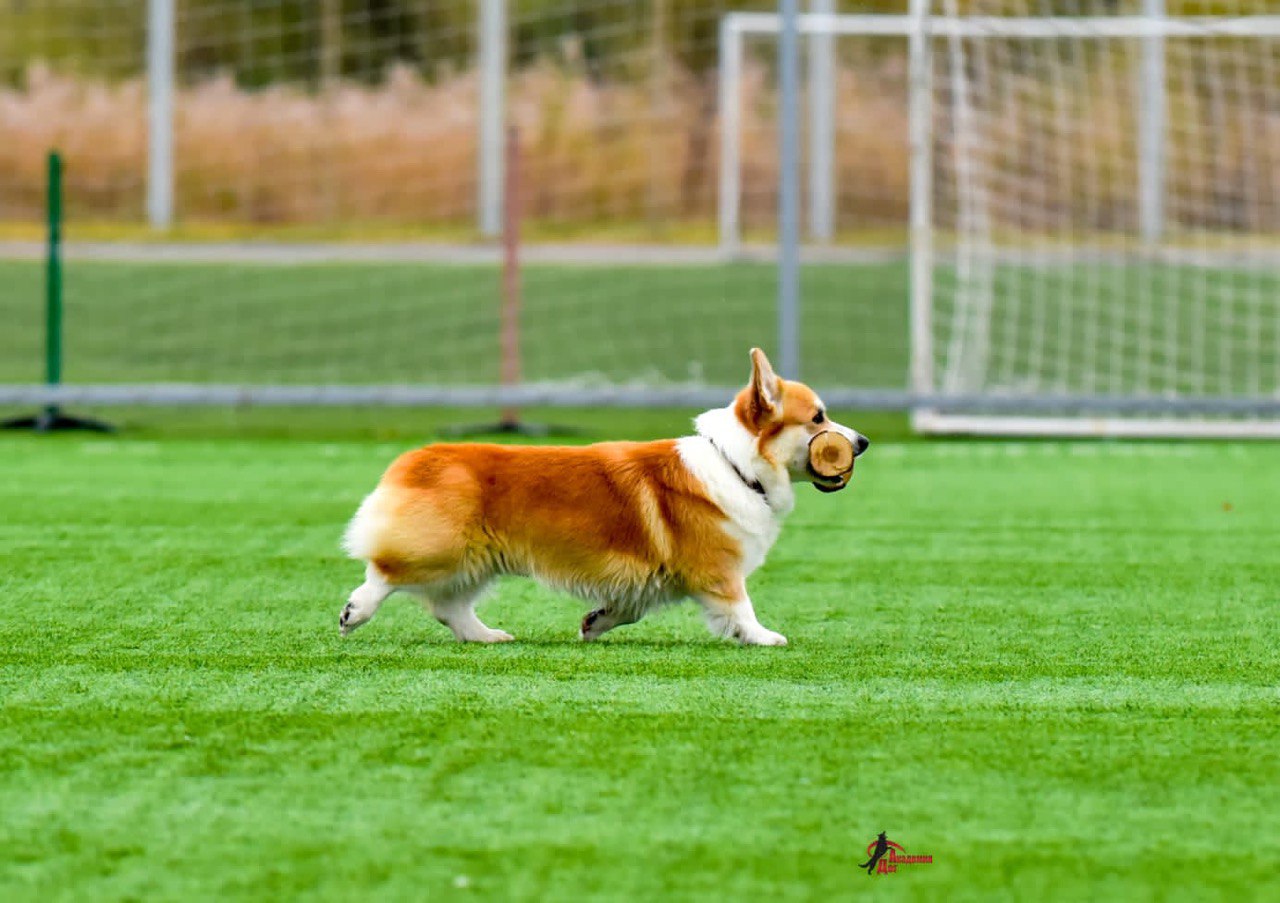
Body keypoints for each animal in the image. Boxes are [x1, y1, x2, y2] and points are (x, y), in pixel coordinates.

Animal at [337, 348, 870, 645]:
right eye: (818, 418)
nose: (863, 442)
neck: (735, 465)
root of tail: (416, 458)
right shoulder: (718, 570)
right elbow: (741, 608)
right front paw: (763, 637)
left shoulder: (650, 578)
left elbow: (626, 608)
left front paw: (594, 623)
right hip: (443, 549)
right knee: (384, 572)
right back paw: (355, 612)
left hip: (477, 559)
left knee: (450, 607)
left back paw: (487, 636)